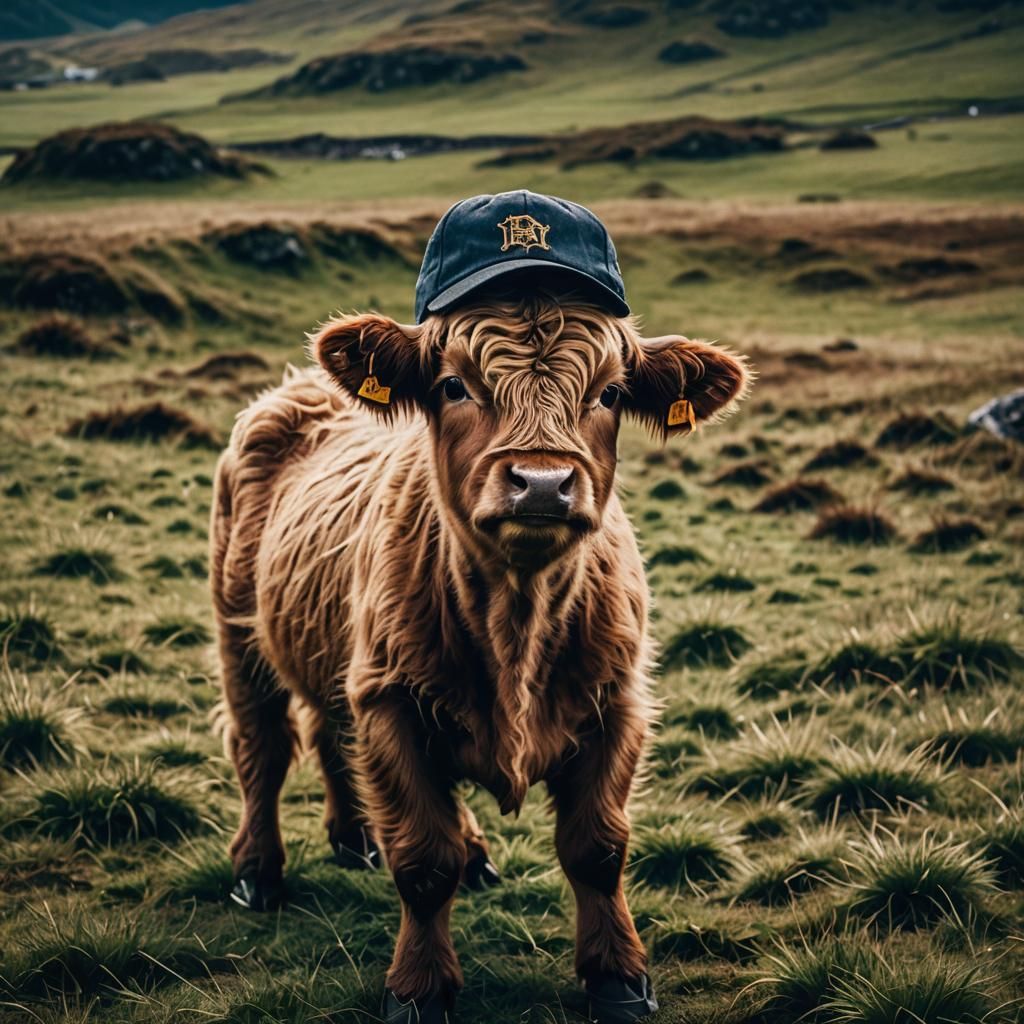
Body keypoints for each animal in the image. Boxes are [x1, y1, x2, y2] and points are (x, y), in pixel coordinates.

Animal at [210, 193, 749, 1024]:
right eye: (454, 385)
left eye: (609, 392)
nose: (542, 484)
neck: (516, 624)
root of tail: (300, 388)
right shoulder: (392, 702)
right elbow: (421, 860)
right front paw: (419, 986)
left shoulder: (617, 701)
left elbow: (598, 847)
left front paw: (618, 976)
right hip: (241, 635)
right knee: (262, 748)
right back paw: (258, 871)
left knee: (329, 730)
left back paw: (365, 837)